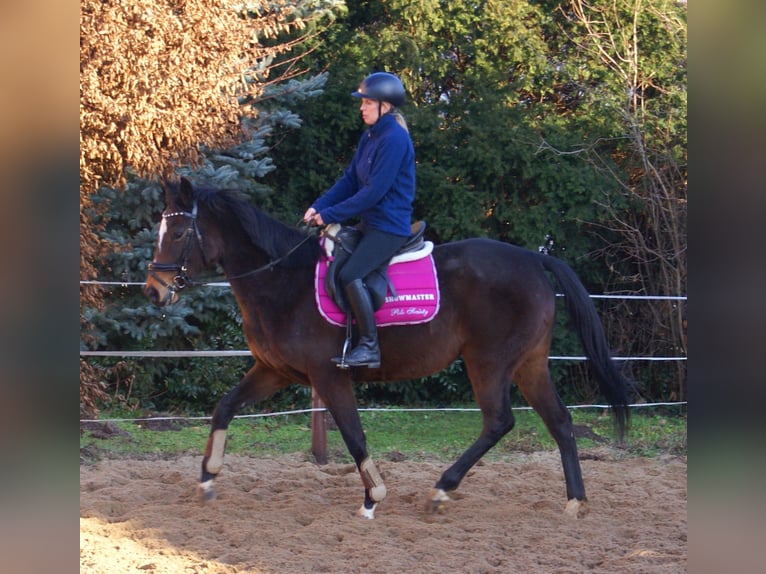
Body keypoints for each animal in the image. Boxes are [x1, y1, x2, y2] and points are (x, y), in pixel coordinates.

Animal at [144, 177, 631, 520]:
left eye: (179, 232)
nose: (153, 291)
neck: (282, 281)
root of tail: (534, 257)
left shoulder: (329, 376)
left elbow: (354, 435)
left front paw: (372, 497)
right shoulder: (273, 371)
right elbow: (225, 408)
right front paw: (208, 479)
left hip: (489, 362)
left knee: (499, 422)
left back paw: (441, 490)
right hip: (528, 364)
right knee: (560, 422)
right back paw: (575, 502)